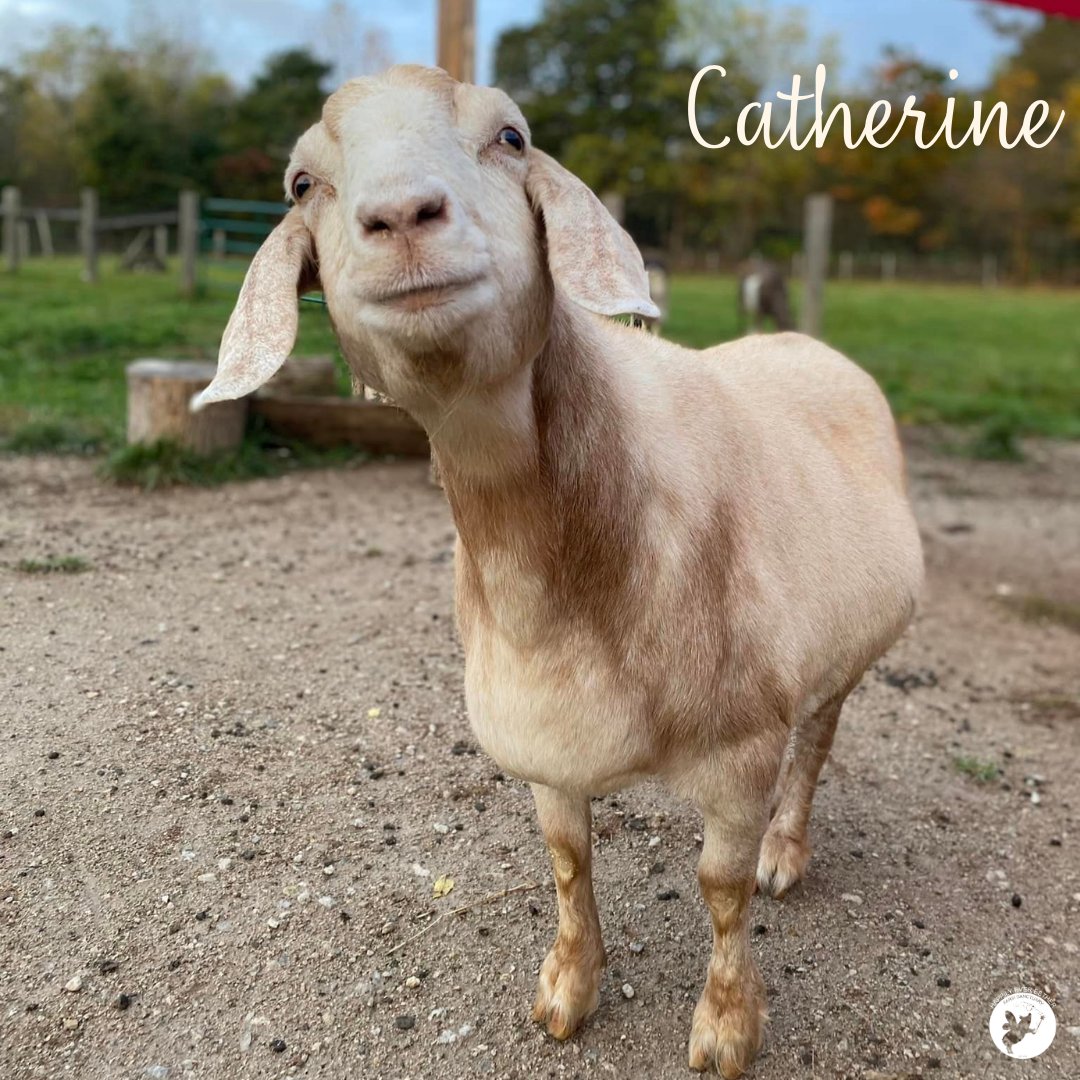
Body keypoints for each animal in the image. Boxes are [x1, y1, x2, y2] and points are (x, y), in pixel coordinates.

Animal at [192, 65, 920, 1080]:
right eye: (302, 184)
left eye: (511, 138)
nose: (402, 216)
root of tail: (806, 343)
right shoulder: (543, 742)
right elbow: (569, 863)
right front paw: (568, 990)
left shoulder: (741, 750)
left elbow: (721, 889)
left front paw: (726, 1026)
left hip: (840, 656)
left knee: (814, 749)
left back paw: (788, 850)